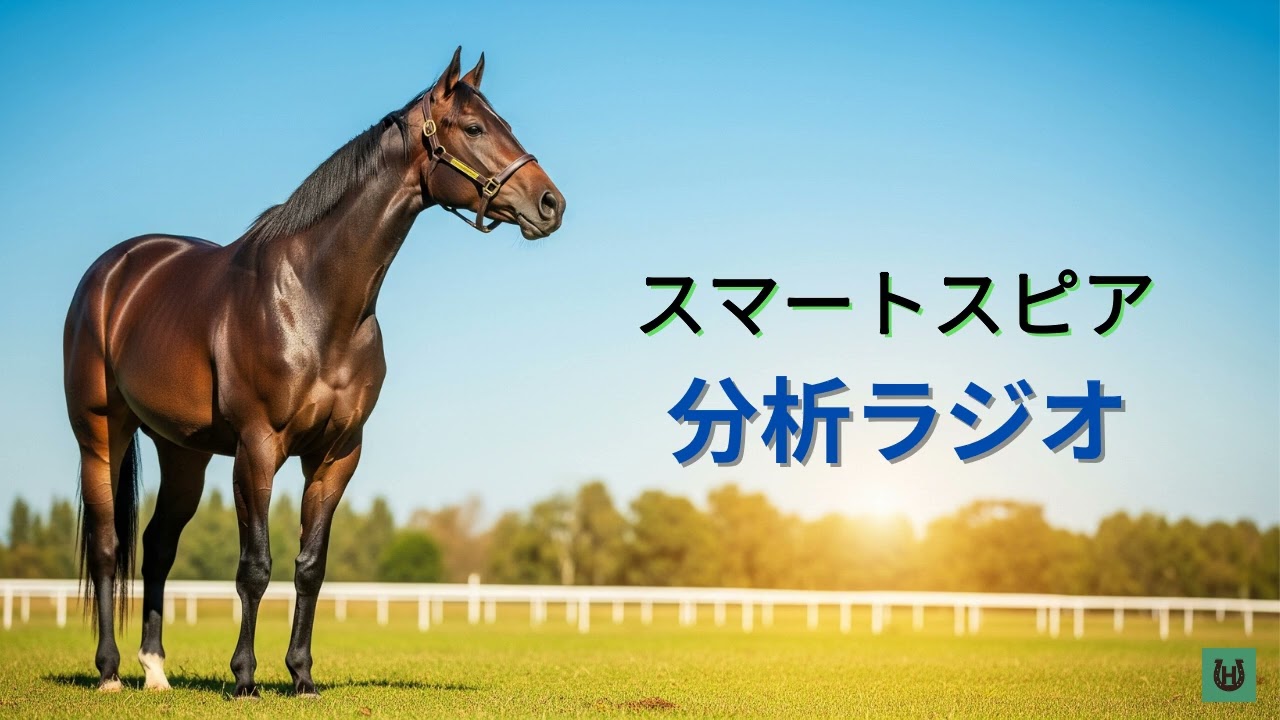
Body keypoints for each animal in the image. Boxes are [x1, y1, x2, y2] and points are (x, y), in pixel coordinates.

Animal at [62, 47, 564, 698]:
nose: (551, 203)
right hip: (101, 435)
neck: (315, 299)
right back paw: (109, 672)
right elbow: (255, 568)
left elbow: (310, 567)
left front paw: (301, 675)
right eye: (475, 128)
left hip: (184, 453)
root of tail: (113, 271)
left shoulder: (336, 455)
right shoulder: (257, 449)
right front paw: (245, 678)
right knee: (107, 547)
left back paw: (155, 670)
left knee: (156, 547)